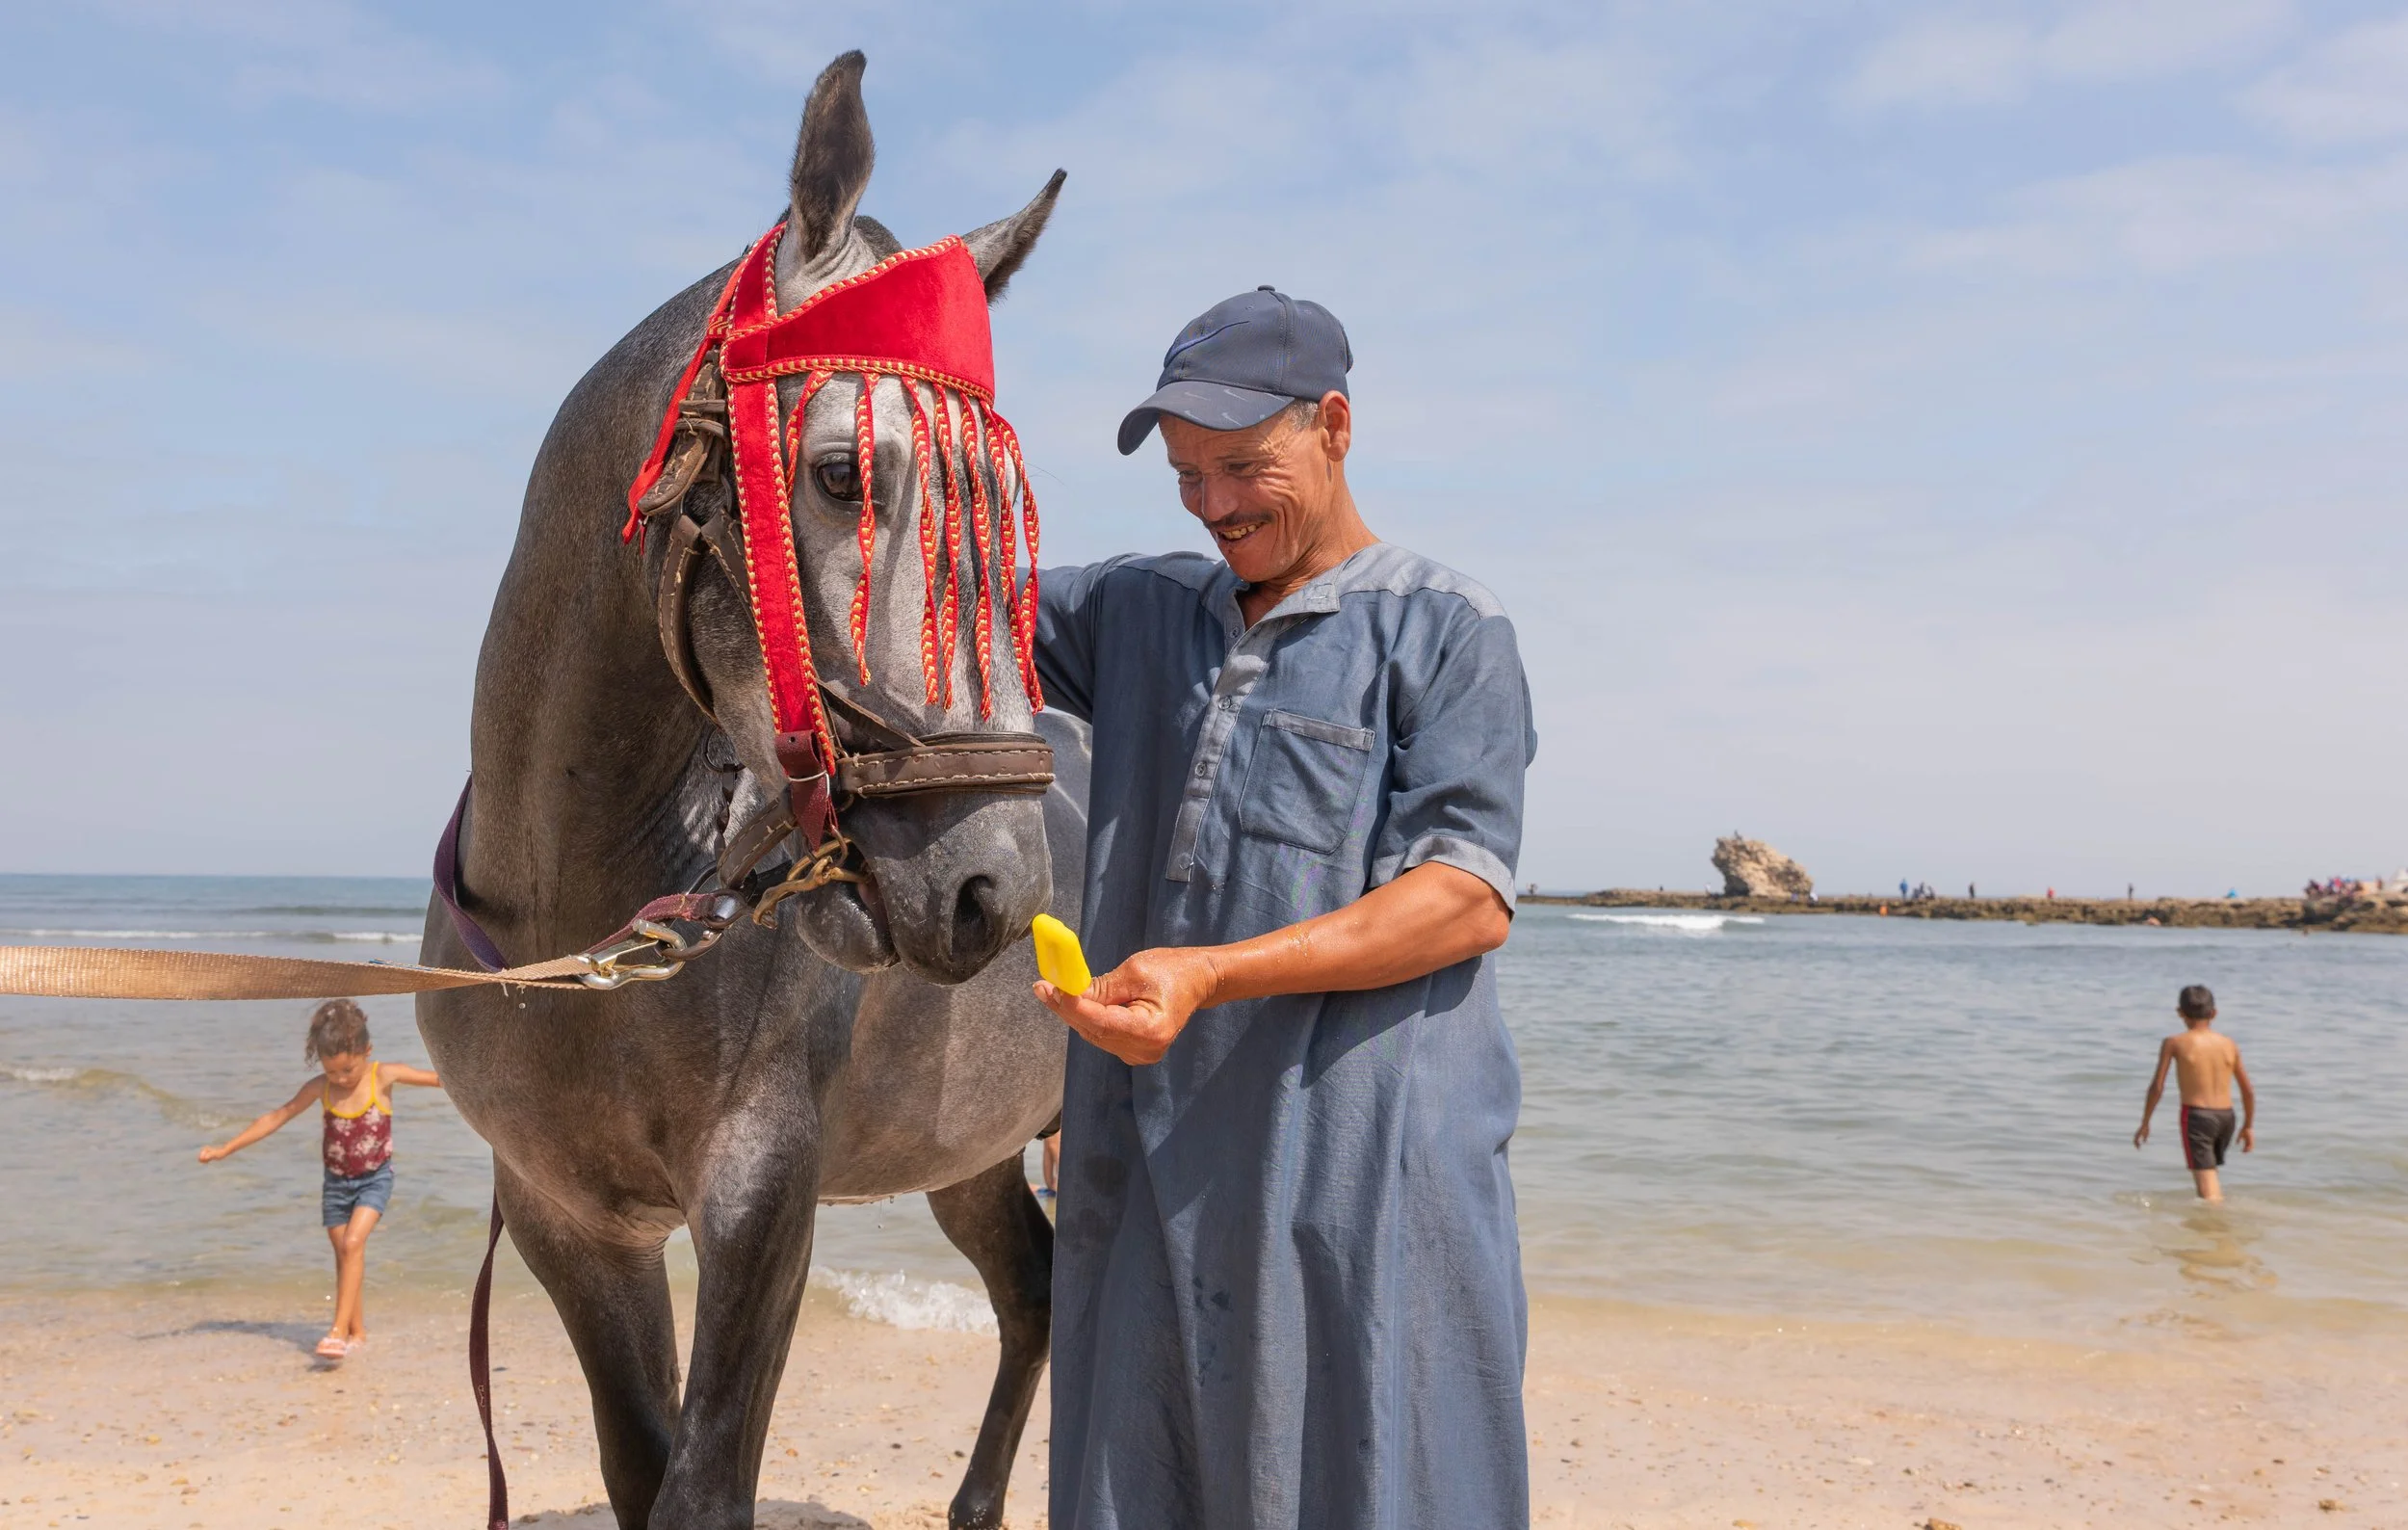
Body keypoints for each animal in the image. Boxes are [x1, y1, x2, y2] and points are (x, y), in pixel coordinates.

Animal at [416, 52, 1074, 1530]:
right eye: (841, 475)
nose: (995, 887)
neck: (585, 920)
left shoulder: (763, 1200)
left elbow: (701, 1482)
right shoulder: (570, 1223)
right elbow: (636, 1463)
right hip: (974, 1152)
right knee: (1031, 1287)